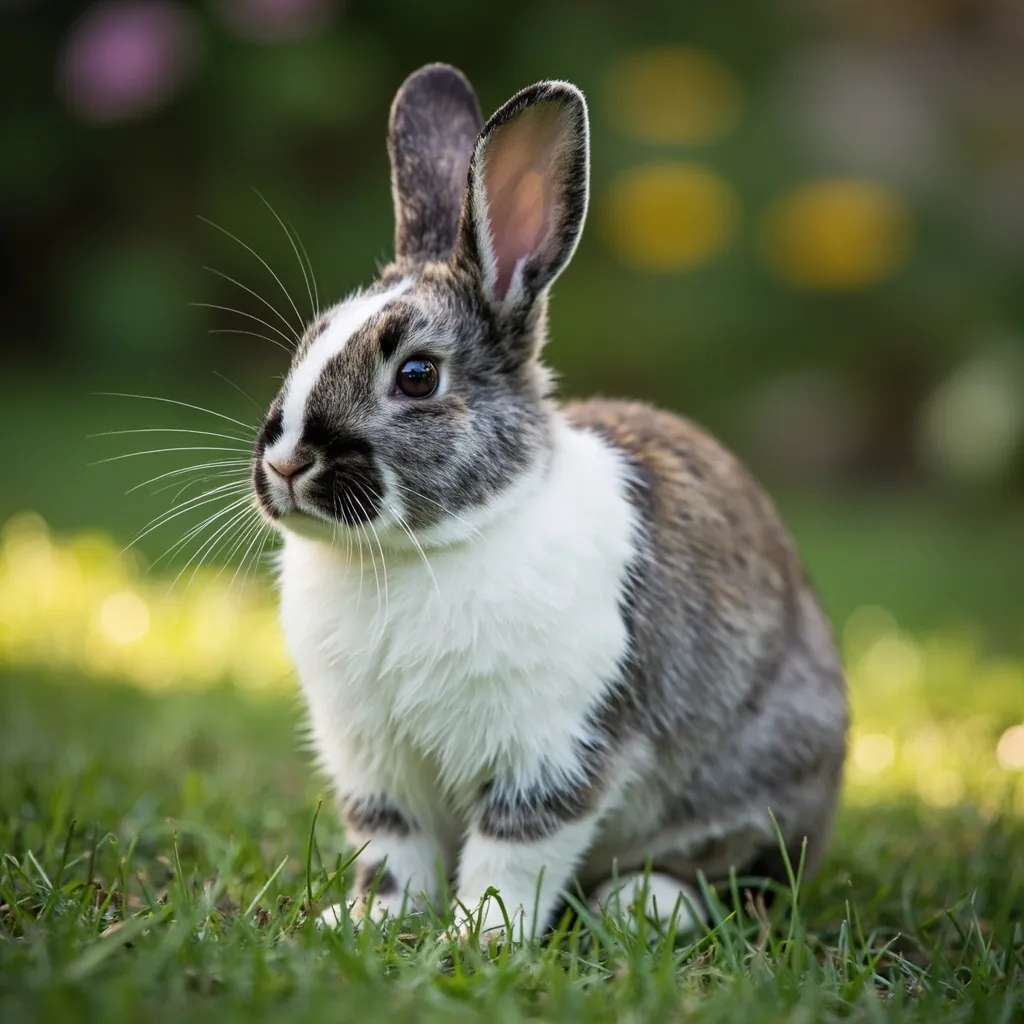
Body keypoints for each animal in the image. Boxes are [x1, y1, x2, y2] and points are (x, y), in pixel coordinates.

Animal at [250, 63, 848, 943]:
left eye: (418, 376)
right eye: (307, 345)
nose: (287, 461)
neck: (424, 547)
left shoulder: (555, 750)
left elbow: (514, 856)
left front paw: (475, 941)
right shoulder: (376, 766)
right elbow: (393, 853)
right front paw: (365, 924)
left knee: (743, 876)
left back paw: (644, 904)